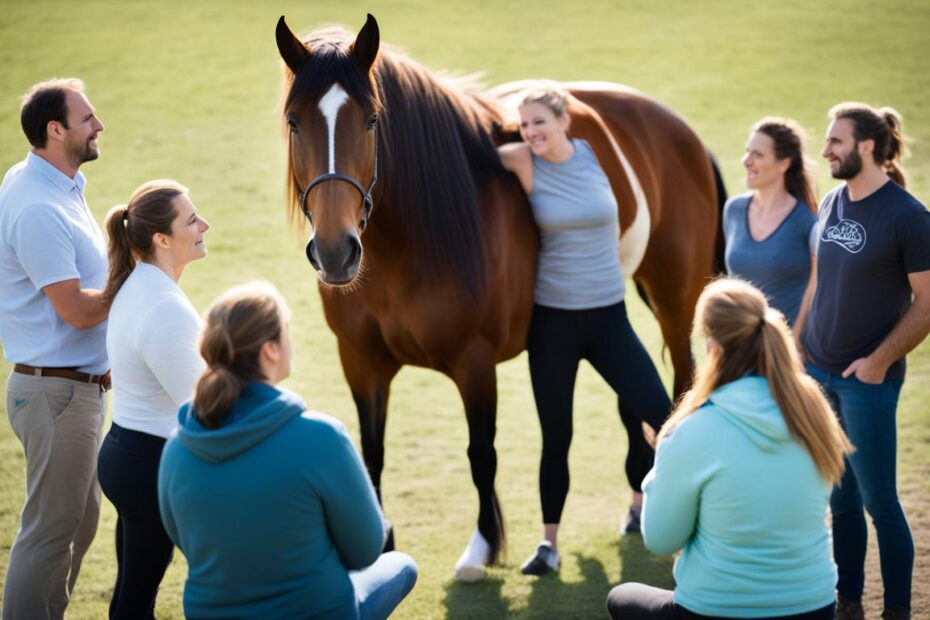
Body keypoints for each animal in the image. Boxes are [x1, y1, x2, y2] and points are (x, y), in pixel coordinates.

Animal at [276, 12, 724, 580]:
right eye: (294, 122)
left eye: (372, 121)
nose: (336, 252)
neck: (413, 239)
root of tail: (681, 132)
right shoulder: (360, 361)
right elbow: (370, 449)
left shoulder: (475, 362)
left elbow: (480, 453)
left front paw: (483, 546)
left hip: (673, 298)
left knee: (680, 384)